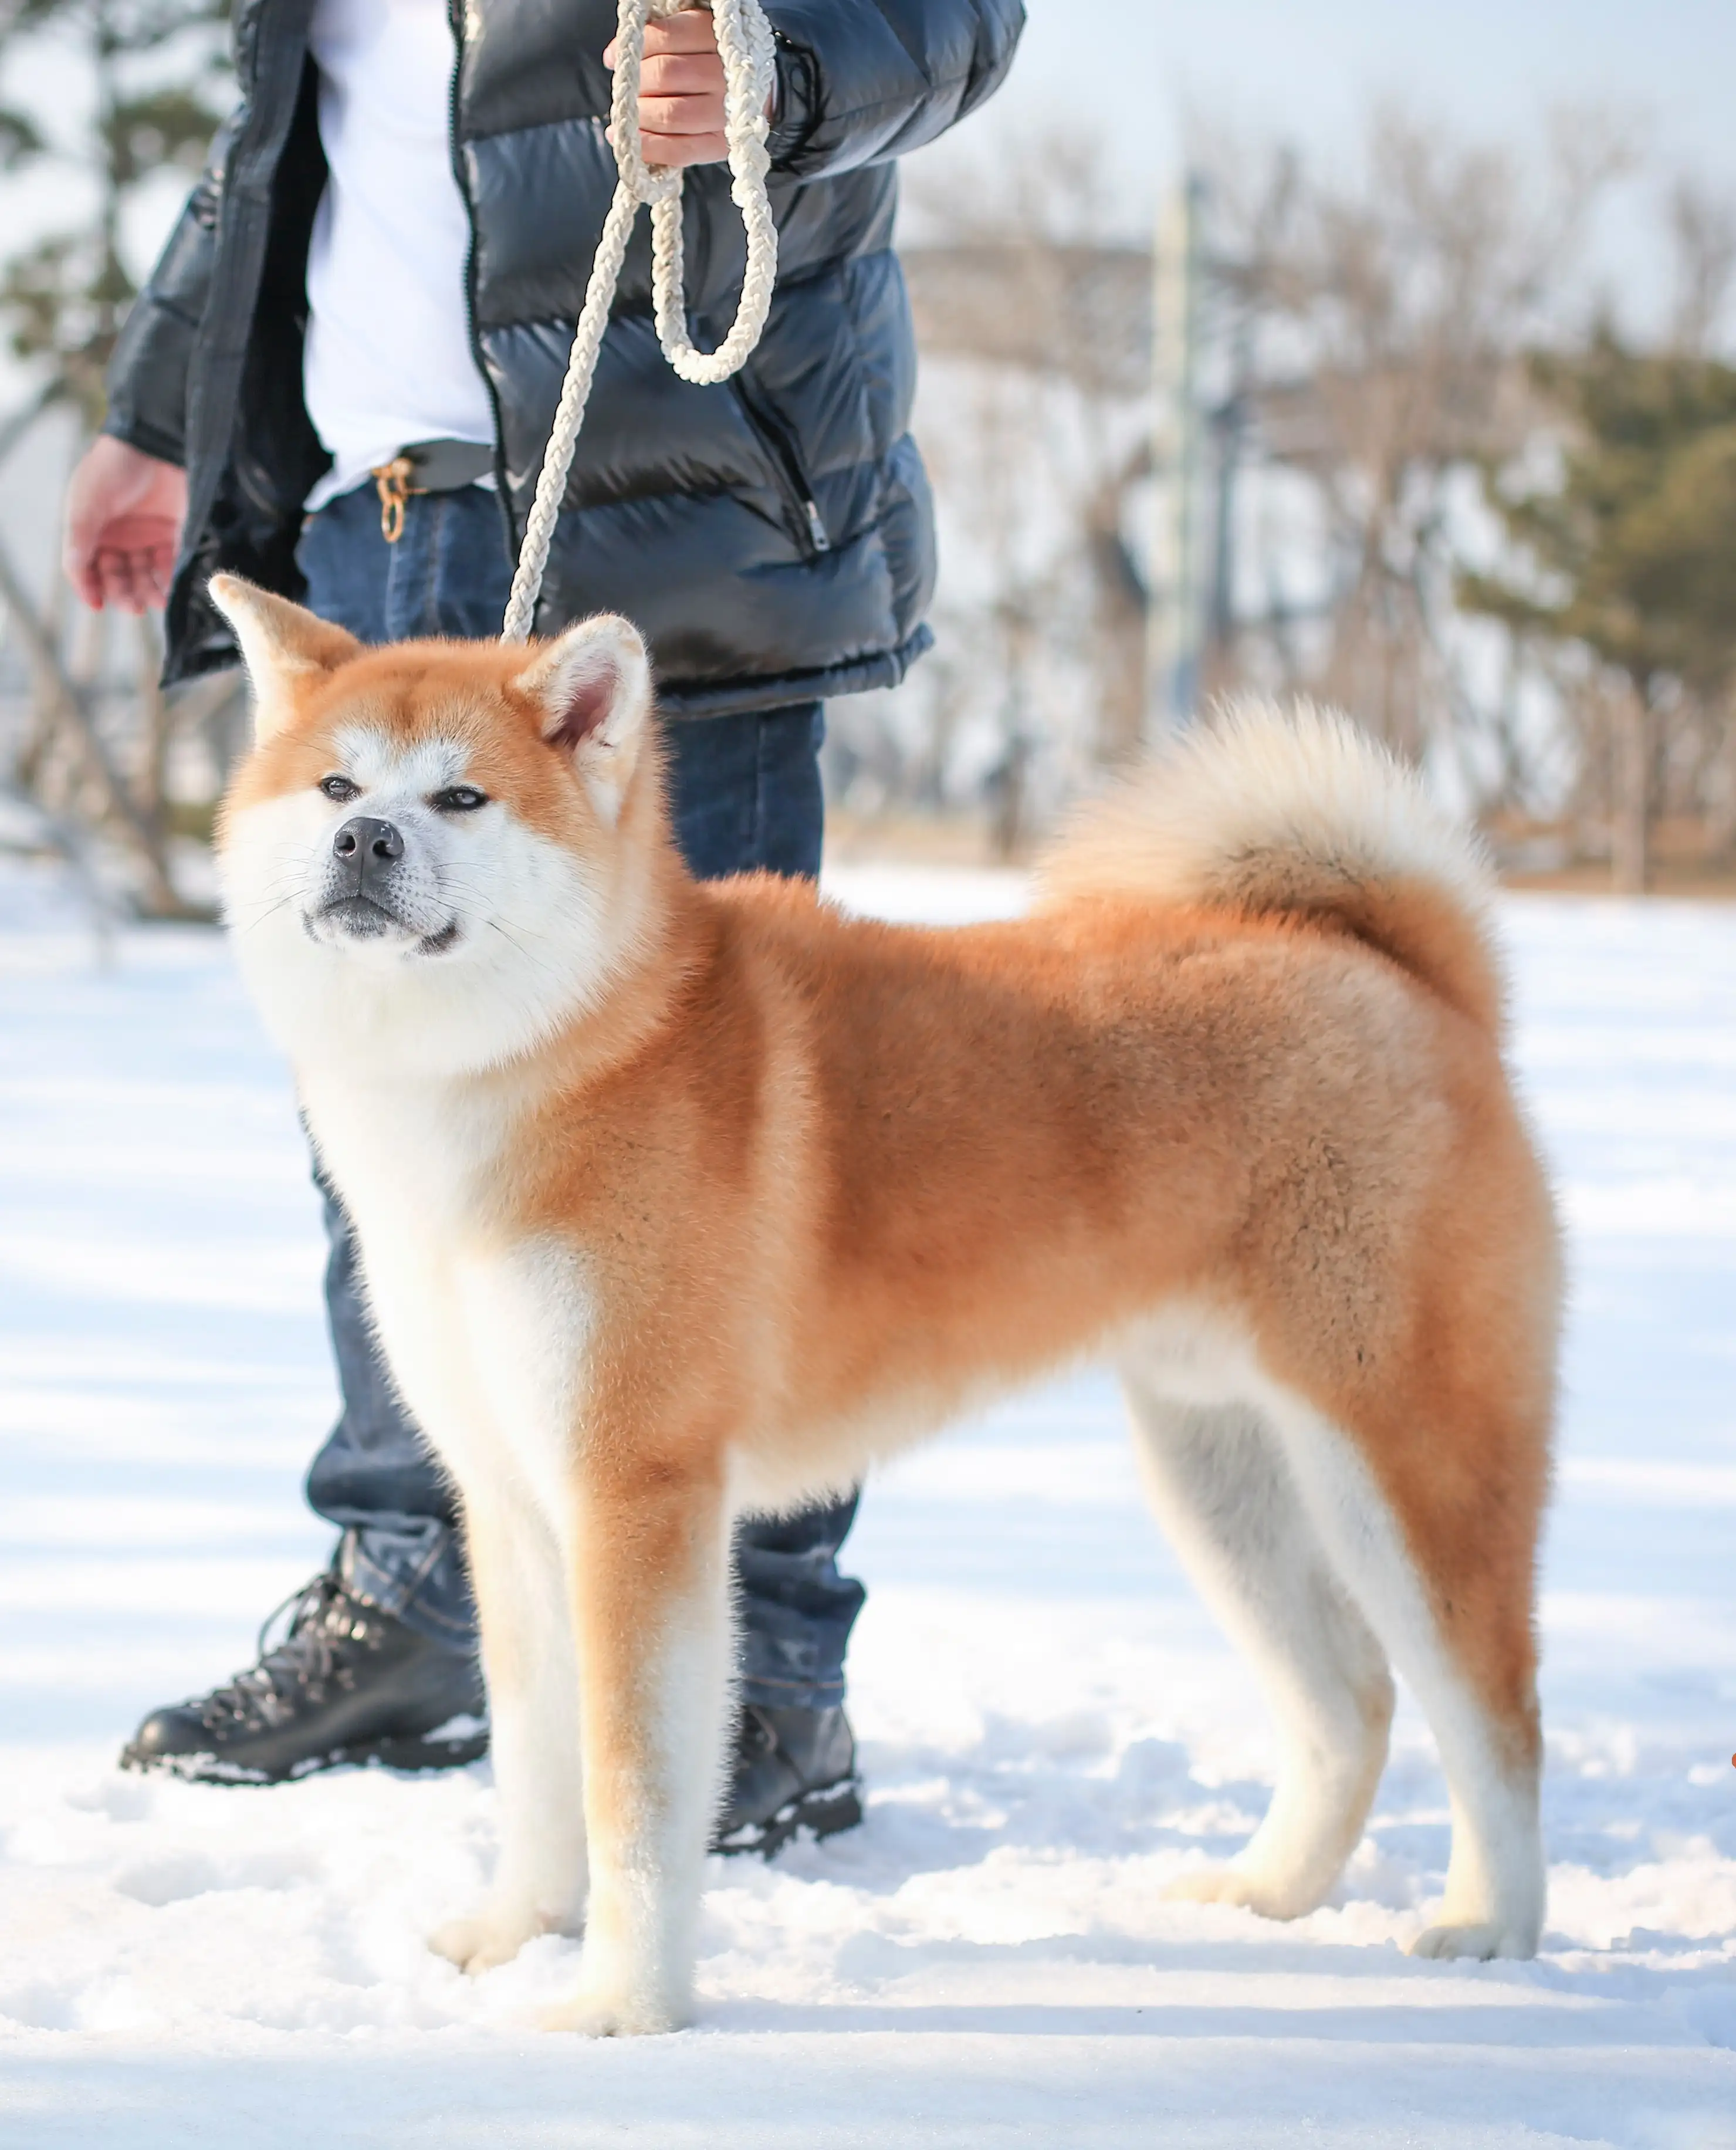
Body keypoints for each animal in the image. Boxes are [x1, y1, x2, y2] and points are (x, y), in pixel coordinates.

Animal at [207, 576, 1555, 2029]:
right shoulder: (510, 1501)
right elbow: (534, 1764)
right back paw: (1267, 1891)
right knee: (1349, 1700)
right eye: (336, 782)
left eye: (463, 797)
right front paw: (520, 1929)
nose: (366, 837)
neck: (555, 1054)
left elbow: (635, 1792)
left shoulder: (637, 1490)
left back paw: (1491, 1924)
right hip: (1221, 1468)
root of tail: (1409, 976)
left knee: (1496, 1714)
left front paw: (624, 2006)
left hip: (1403, 1461)